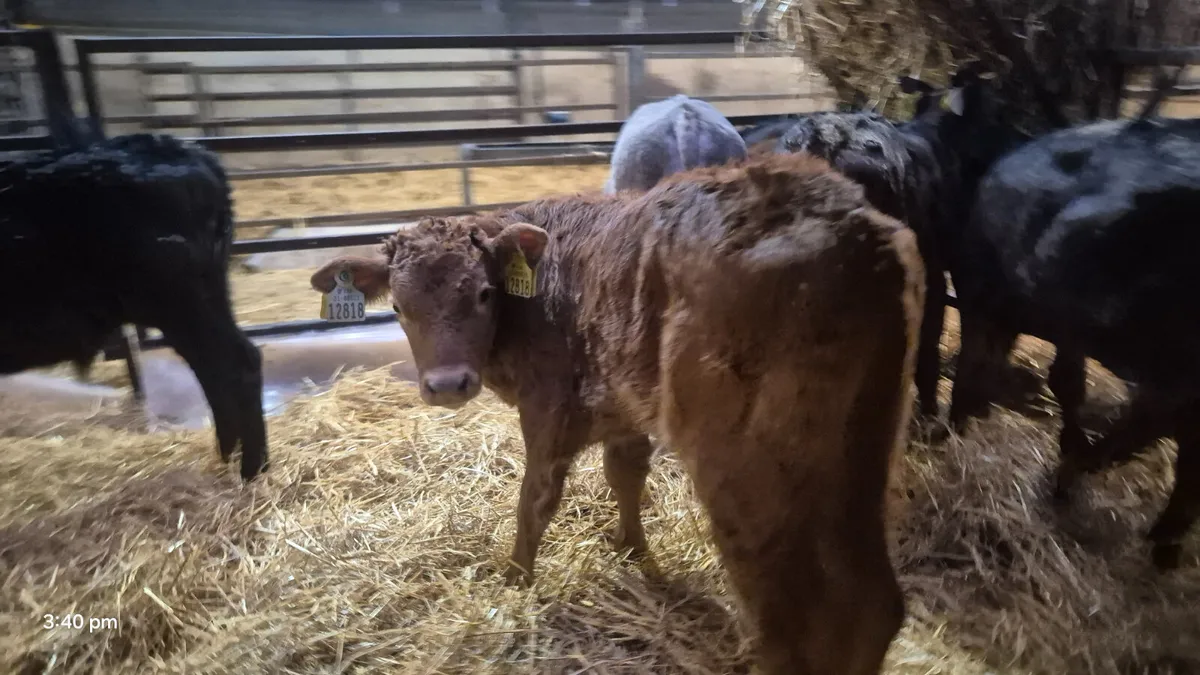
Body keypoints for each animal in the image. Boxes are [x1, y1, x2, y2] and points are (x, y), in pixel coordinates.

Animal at [310, 152, 926, 675]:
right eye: (399, 306)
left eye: (484, 293)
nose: (447, 385)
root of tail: (849, 226)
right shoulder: (624, 406)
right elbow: (625, 474)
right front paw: (631, 551)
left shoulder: (548, 408)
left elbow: (534, 500)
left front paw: (515, 580)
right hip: (861, 452)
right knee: (870, 603)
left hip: (750, 469)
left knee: (788, 607)